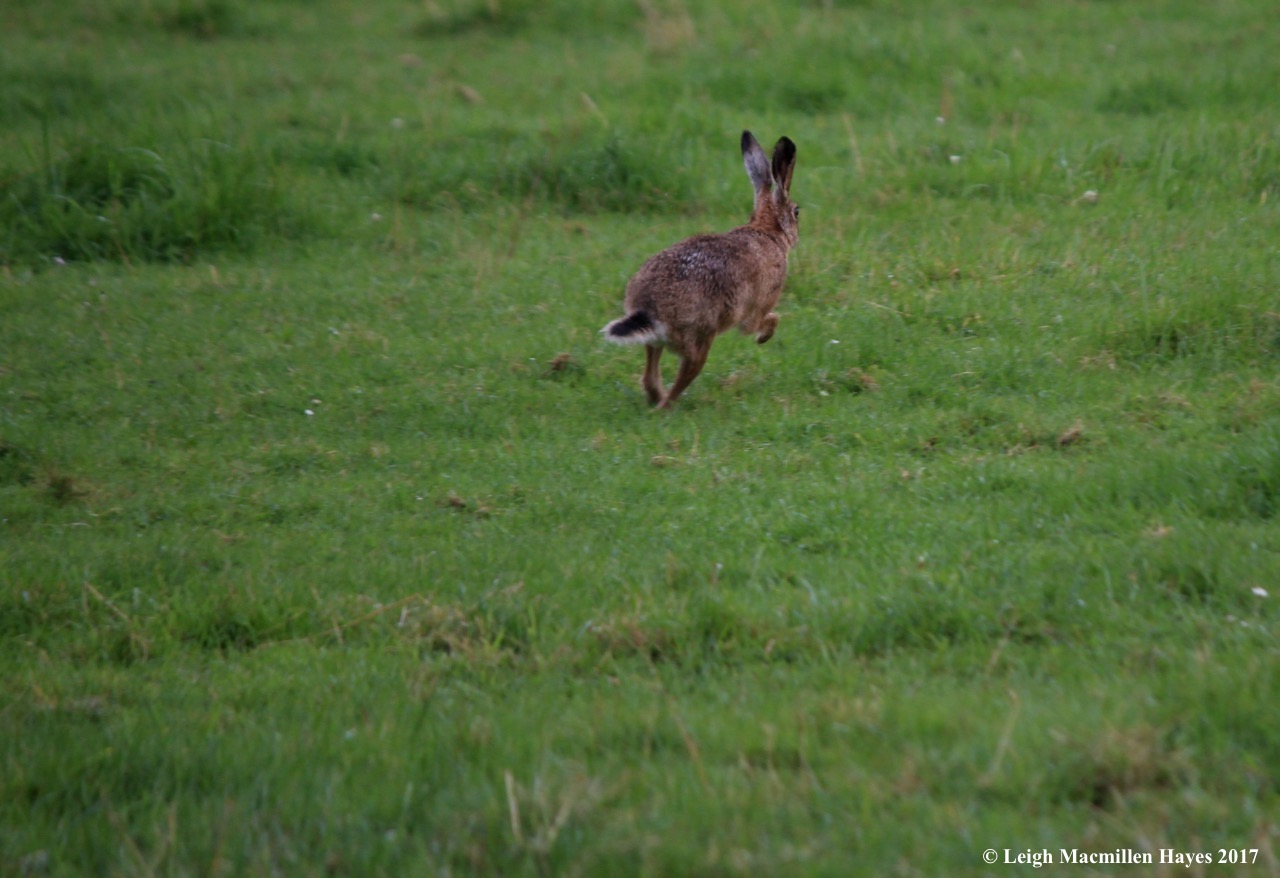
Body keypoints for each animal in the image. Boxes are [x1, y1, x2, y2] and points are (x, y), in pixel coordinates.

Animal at [601, 130, 799, 409]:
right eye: (797, 212)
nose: (797, 234)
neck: (766, 232)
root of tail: (650, 310)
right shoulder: (757, 308)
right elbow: (767, 320)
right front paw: (762, 338)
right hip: (700, 338)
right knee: (684, 376)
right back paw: (665, 406)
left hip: (656, 342)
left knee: (649, 375)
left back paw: (656, 397)